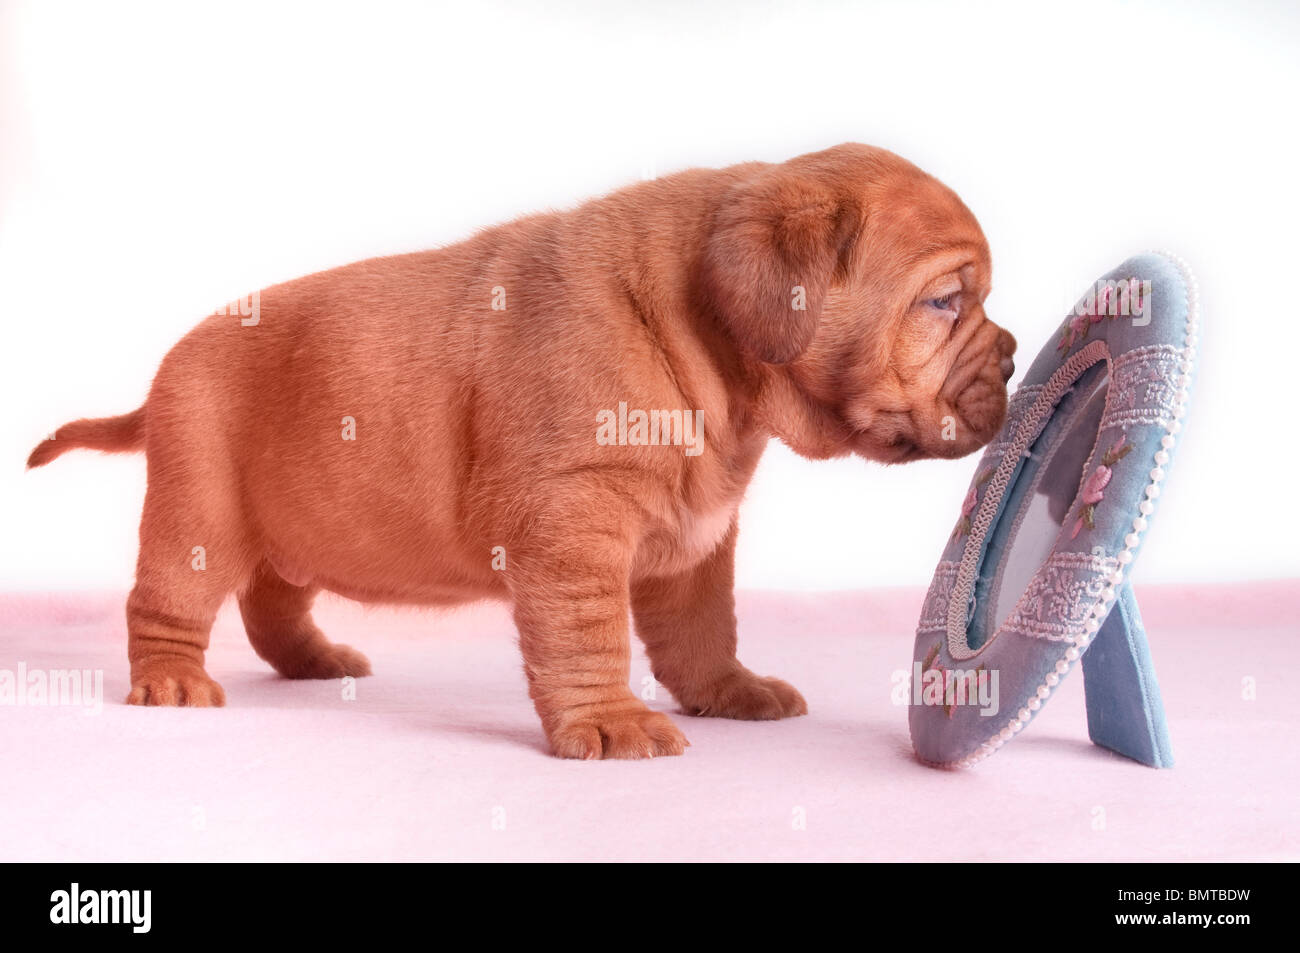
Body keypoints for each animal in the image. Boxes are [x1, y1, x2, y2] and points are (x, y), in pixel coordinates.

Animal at [27, 141, 1013, 759]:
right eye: (943, 302)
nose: (1008, 354)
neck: (710, 355)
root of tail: (164, 374)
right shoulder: (575, 527)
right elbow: (588, 637)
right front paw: (611, 723)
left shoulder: (693, 541)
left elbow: (702, 629)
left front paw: (730, 689)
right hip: (198, 504)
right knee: (166, 601)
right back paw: (170, 681)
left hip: (296, 524)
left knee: (273, 598)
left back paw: (315, 661)